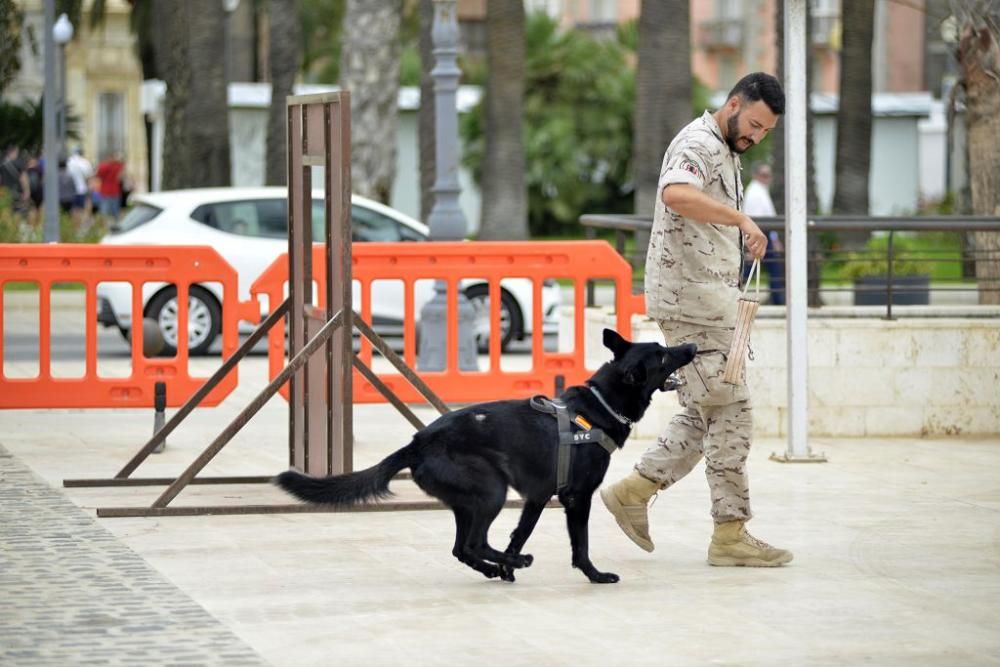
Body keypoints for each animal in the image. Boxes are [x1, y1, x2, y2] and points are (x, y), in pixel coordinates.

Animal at [274, 328, 696, 584]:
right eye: (662, 356)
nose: (692, 347)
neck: (597, 406)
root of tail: (418, 441)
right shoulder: (576, 498)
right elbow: (581, 544)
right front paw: (593, 575)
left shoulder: (537, 497)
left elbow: (519, 534)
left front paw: (508, 566)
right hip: (491, 490)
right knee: (473, 543)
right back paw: (510, 564)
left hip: (469, 501)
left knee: (462, 547)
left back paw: (496, 569)